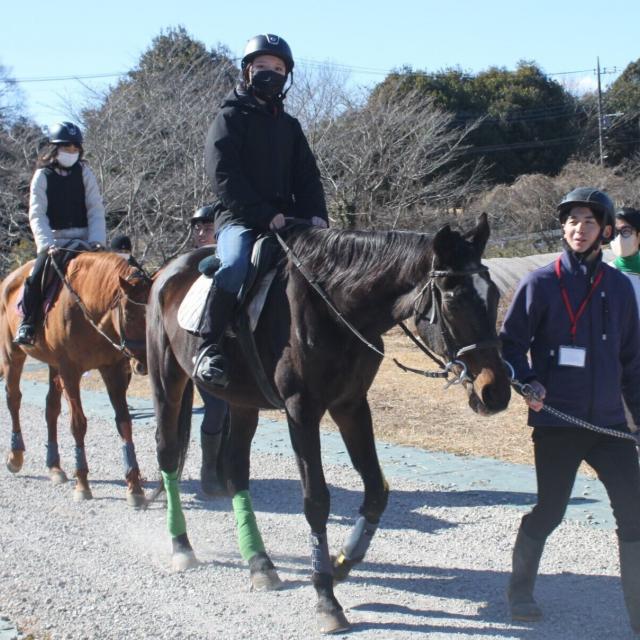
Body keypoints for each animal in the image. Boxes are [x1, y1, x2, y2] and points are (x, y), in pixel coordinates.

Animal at [0, 250, 152, 507]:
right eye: (130, 315)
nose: (143, 363)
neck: (88, 310)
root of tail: (8, 280)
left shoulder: (113, 371)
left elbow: (124, 422)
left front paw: (134, 486)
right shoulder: (70, 373)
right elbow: (78, 425)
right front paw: (82, 483)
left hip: (53, 365)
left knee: (51, 408)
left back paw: (55, 467)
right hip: (13, 356)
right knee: (13, 400)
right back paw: (15, 456)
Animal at [146, 213, 511, 633]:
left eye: (493, 296)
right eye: (453, 299)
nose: (496, 393)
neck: (335, 306)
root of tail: (168, 270)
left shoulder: (351, 405)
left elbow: (377, 491)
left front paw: (341, 563)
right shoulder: (302, 411)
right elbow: (316, 501)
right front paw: (325, 597)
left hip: (241, 402)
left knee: (236, 471)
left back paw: (259, 563)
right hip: (167, 380)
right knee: (168, 454)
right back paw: (181, 546)